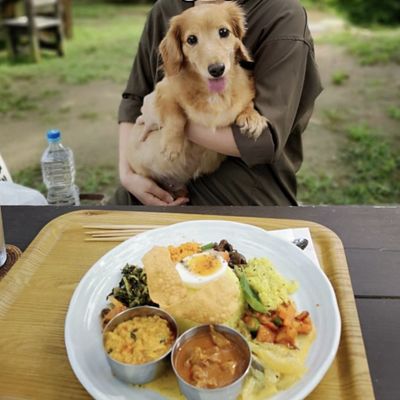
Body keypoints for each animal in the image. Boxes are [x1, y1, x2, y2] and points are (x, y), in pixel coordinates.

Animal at [126, 1, 268, 195]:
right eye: (191, 39)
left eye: (224, 32)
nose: (217, 69)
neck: (214, 95)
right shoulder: (163, 92)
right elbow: (176, 117)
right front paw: (172, 144)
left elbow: (247, 104)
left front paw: (252, 118)